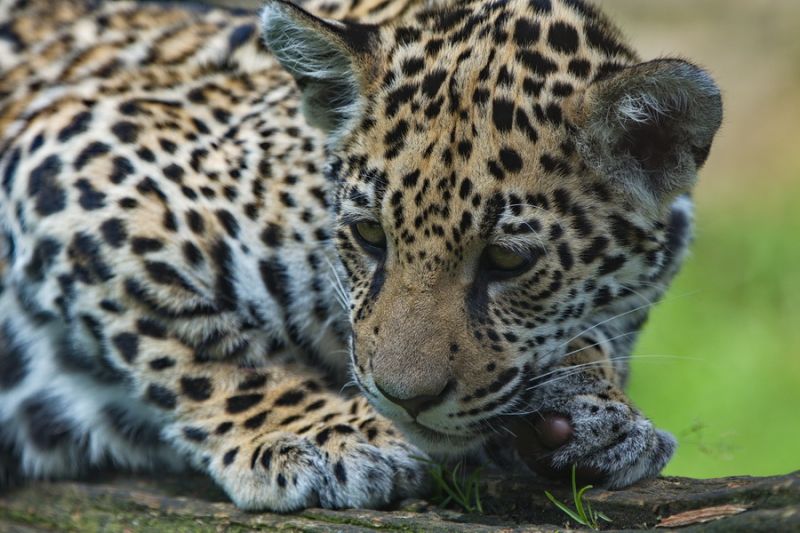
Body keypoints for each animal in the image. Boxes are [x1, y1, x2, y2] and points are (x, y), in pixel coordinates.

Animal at [0, 0, 722, 512]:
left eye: (509, 263)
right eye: (371, 236)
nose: (407, 400)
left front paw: (601, 411)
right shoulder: (78, 163)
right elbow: (197, 341)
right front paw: (319, 434)